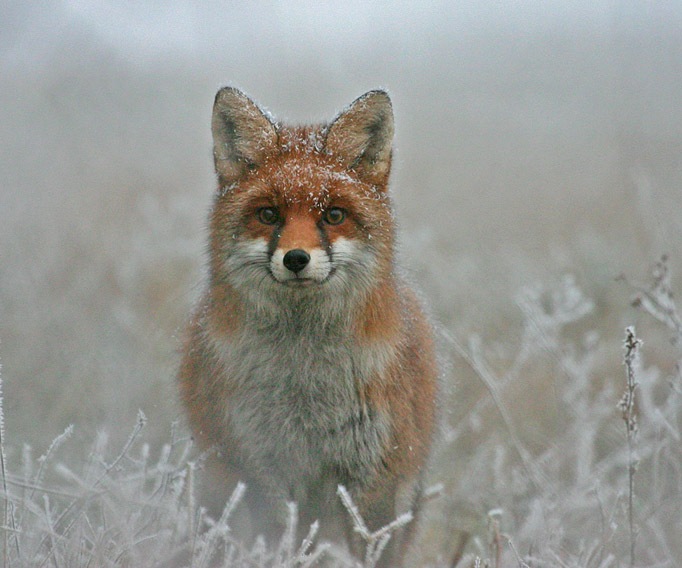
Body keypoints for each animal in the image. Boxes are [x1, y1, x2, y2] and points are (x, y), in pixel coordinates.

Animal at [178, 87, 439, 565]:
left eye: (333, 215)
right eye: (268, 214)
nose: (296, 258)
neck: (305, 381)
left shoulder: (375, 477)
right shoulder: (264, 469)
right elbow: (279, 541)